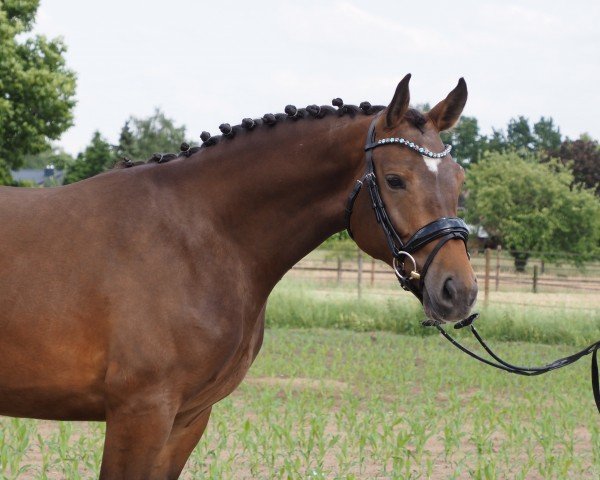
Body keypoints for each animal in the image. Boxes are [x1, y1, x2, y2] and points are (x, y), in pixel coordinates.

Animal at [0, 75, 478, 476]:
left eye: (459, 179)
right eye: (395, 180)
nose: (459, 291)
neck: (196, 238)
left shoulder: (186, 420)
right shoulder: (140, 413)